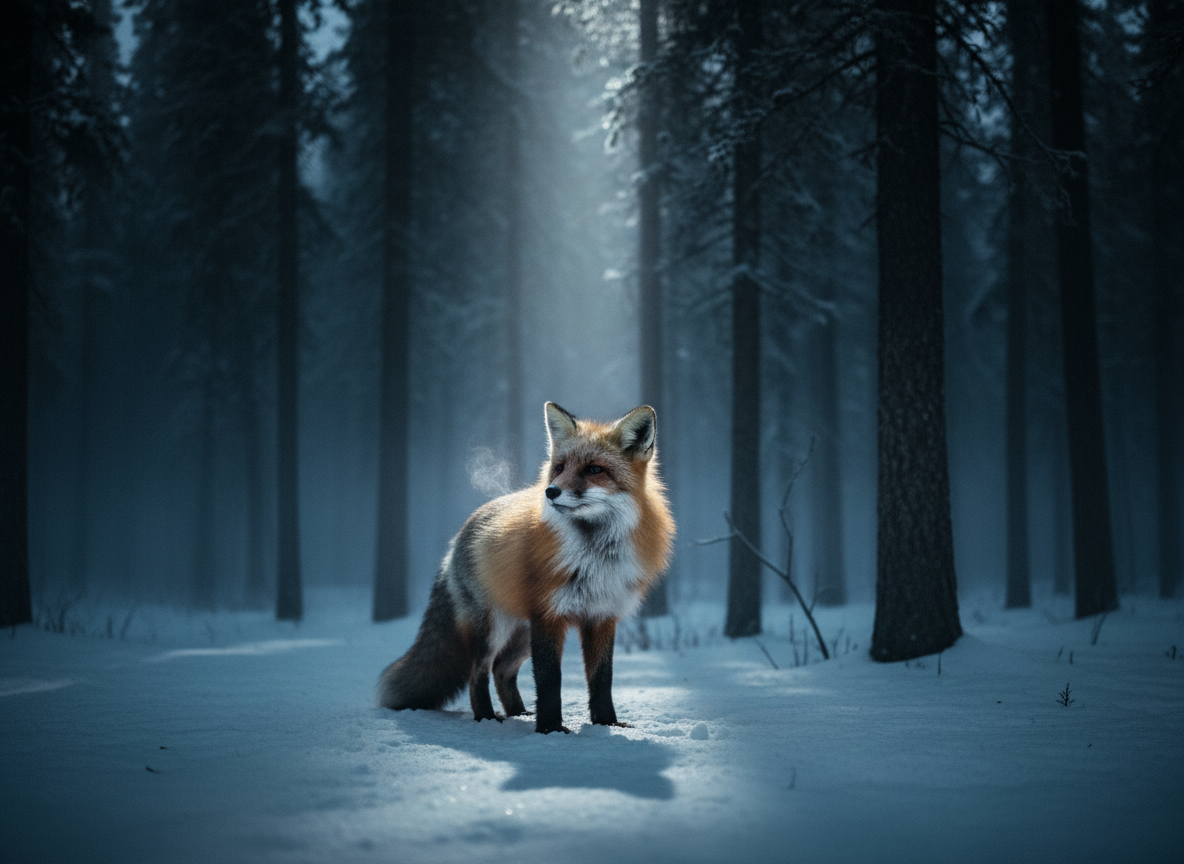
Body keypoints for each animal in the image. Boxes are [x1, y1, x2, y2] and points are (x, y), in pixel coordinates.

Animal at [377, 401, 675, 734]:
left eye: (594, 469)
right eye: (559, 468)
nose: (551, 491)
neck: (594, 557)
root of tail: (460, 534)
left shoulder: (601, 616)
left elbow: (602, 679)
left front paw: (605, 723)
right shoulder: (548, 616)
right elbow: (549, 680)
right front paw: (551, 729)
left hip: (521, 632)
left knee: (502, 671)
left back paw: (519, 713)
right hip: (494, 627)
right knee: (478, 672)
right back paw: (487, 717)